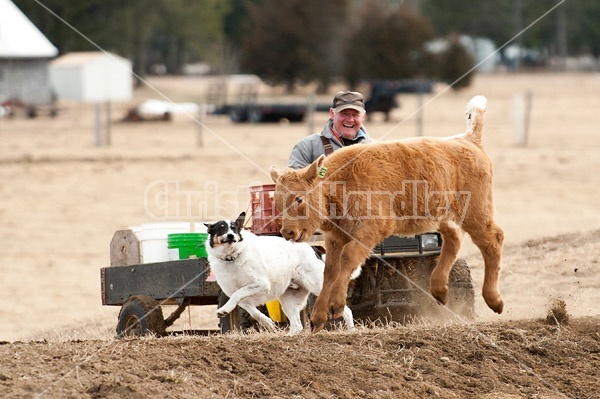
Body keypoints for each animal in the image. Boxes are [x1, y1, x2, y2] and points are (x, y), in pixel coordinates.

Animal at [204, 212, 354, 334]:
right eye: (221, 228)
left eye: (234, 228)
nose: (231, 235)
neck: (232, 258)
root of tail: (313, 249)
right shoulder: (237, 295)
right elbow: (249, 307)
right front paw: (266, 322)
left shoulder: (262, 284)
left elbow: (239, 294)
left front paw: (224, 310)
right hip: (288, 299)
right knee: (297, 325)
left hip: (317, 285)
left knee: (346, 311)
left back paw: (352, 331)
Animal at [270, 96, 502, 332]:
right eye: (277, 200)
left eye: (299, 199)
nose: (288, 232)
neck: (341, 180)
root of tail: (468, 140)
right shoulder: (335, 238)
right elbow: (330, 271)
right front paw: (318, 317)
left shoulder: (369, 231)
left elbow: (348, 258)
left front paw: (336, 305)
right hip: (440, 217)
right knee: (454, 238)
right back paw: (439, 290)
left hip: (475, 212)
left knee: (492, 239)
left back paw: (494, 300)